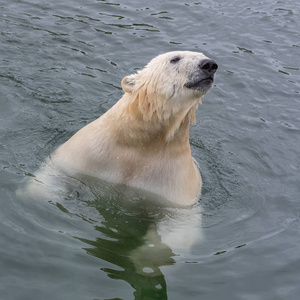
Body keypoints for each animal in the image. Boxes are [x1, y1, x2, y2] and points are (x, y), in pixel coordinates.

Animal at [48, 51, 218, 206]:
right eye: (175, 59)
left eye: (203, 55)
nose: (209, 65)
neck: (139, 142)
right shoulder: (86, 153)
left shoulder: (175, 182)